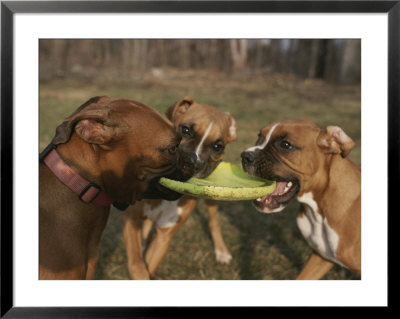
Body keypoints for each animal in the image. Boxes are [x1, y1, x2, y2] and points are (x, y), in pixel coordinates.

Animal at [122, 97, 234, 280]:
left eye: (218, 147)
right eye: (185, 130)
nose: (195, 162)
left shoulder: (164, 235)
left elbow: (148, 267)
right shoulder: (131, 219)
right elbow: (137, 265)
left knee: (213, 221)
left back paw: (222, 251)